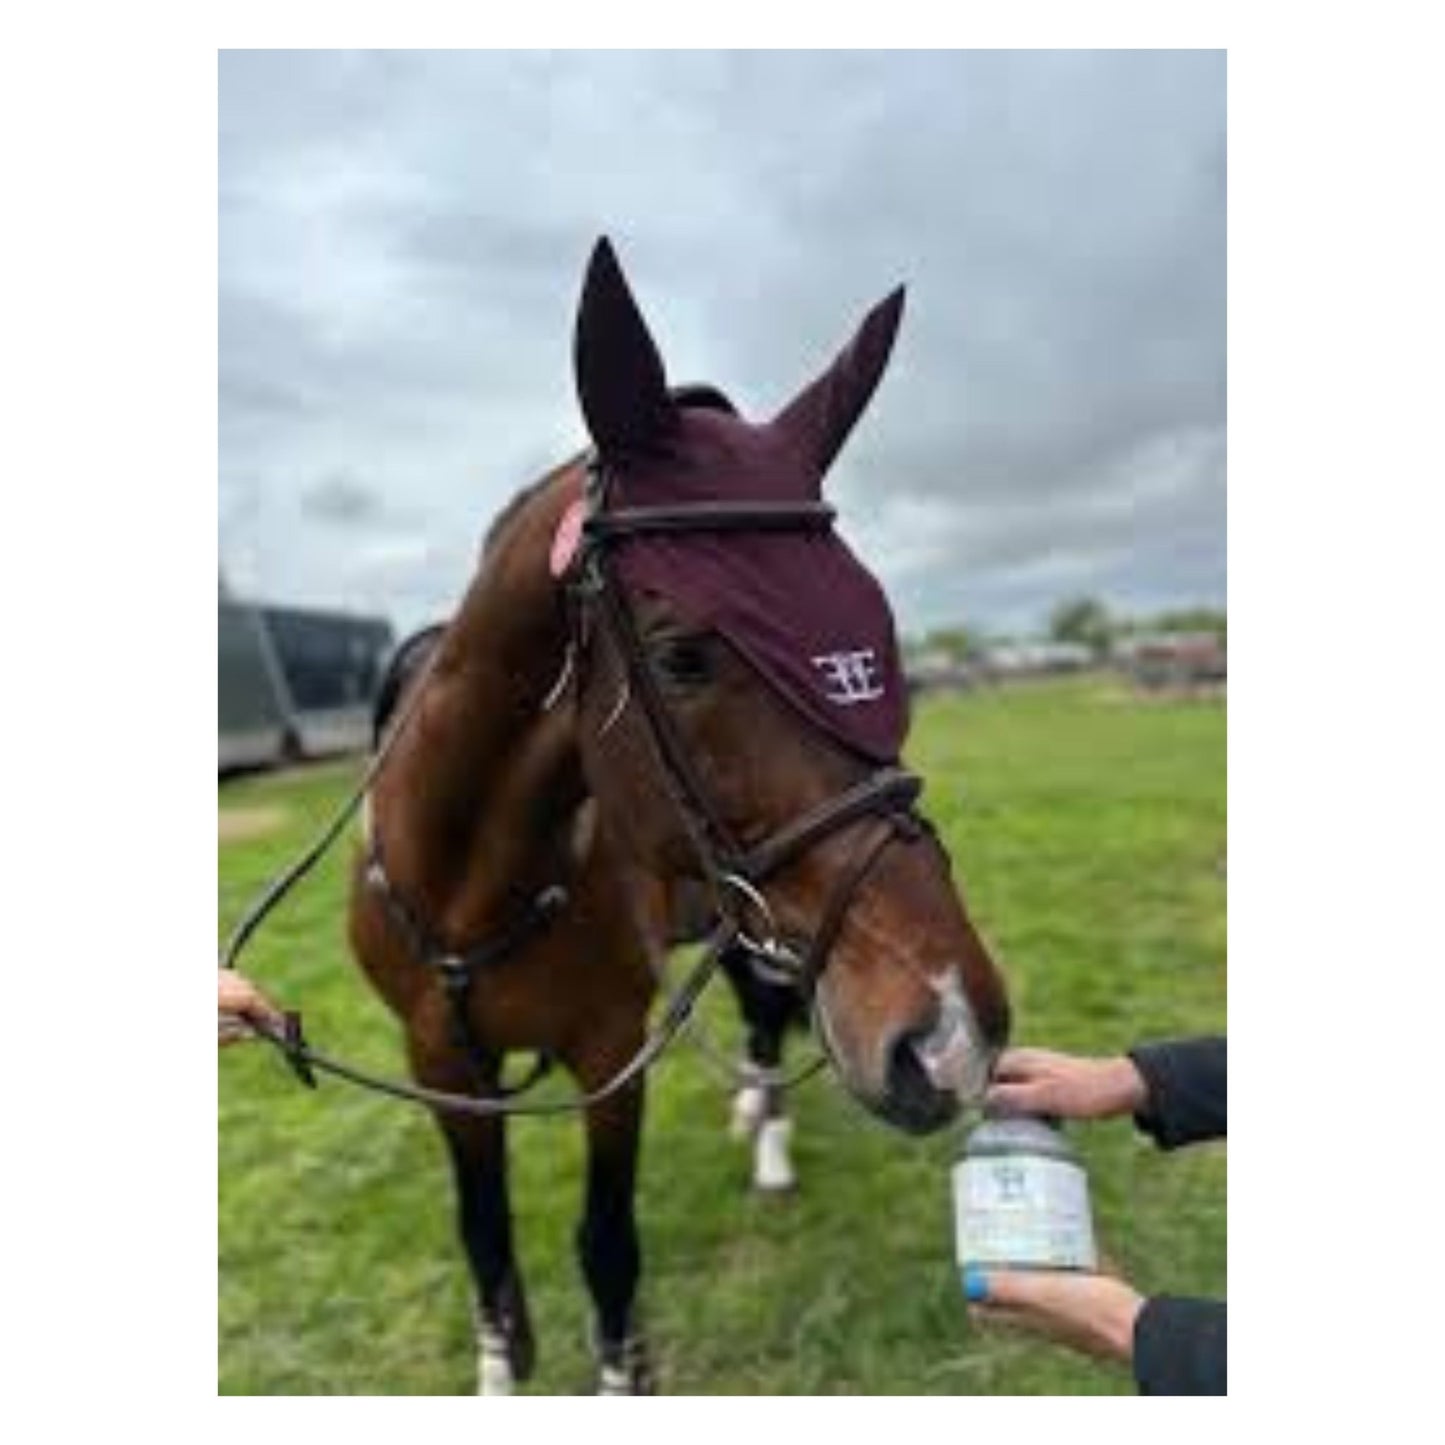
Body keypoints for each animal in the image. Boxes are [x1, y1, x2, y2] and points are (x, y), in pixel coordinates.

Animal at [347, 237, 1011, 1394]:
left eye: (878, 630)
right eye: (681, 655)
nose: (951, 1034)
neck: (470, 878)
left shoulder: (609, 1051)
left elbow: (607, 1244)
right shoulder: (439, 1066)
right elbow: (485, 1236)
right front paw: (499, 1363)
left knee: (762, 1014)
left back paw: (768, 1133)